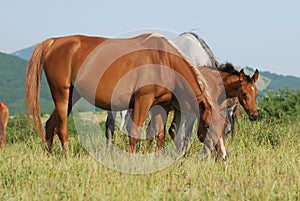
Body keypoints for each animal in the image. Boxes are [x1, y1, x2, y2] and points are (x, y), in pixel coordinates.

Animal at [25, 33, 224, 154]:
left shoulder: (162, 105)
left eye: (225, 127)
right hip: (62, 93)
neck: (163, 59)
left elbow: (159, 135)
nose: (222, 155)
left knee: (51, 124)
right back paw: (66, 156)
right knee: (62, 127)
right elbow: (135, 132)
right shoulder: (143, 101)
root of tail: (54, 41)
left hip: (72, 96)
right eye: (207, 126)